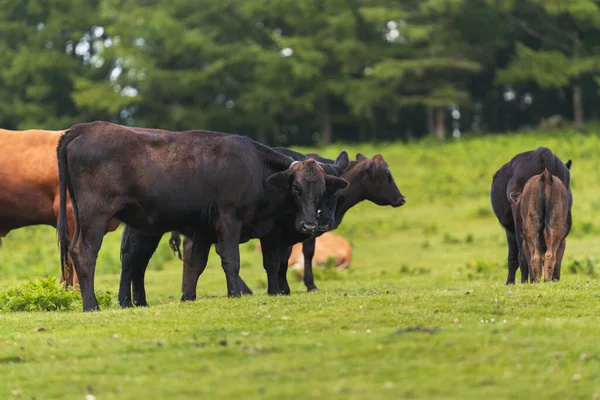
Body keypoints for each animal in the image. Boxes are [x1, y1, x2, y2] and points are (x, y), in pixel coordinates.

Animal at [57, 120, 346, 310]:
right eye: (296, 188)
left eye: (324, 190)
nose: (311, 224)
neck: (254, 166)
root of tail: (85, 128)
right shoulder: (230, 220)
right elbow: (232, 260)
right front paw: (234, 294)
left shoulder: (205, 228)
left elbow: (197, 263)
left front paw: (188, 297)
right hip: (95, 216)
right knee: (85, 253)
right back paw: (92, 304)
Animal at [490, 147, 568, 284]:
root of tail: (541, 151)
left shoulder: (510, 230)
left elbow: (513, 256)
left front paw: (510, 283)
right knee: (555, 248)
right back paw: (551, 279)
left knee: (524, 252)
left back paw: (527, 280)